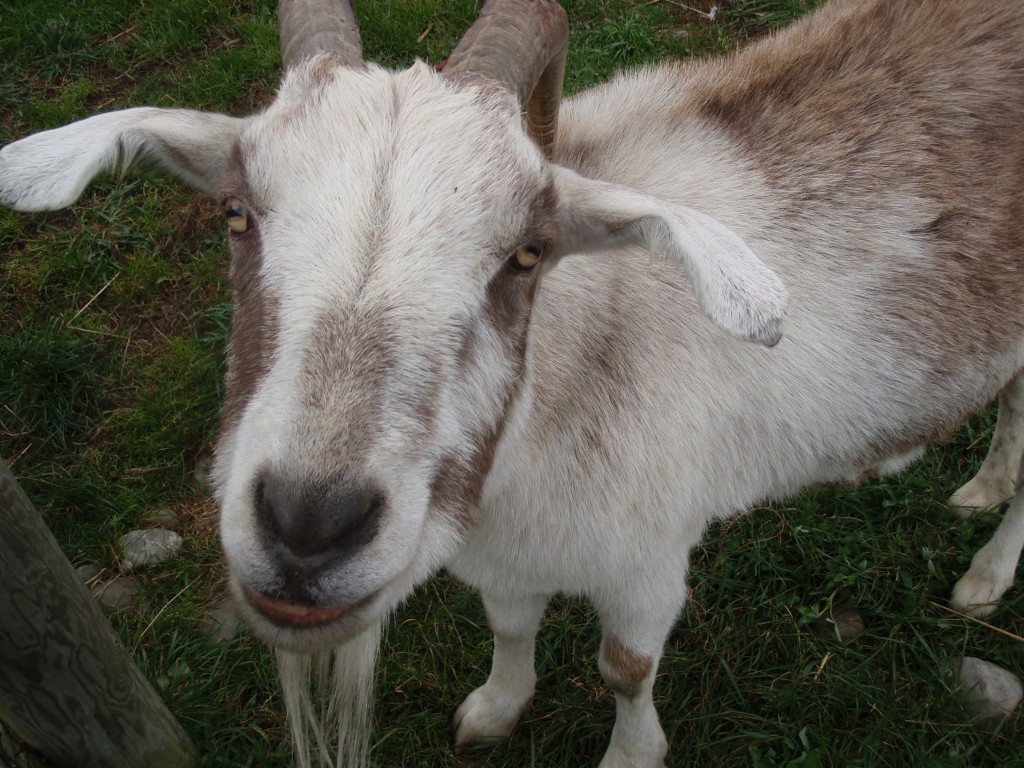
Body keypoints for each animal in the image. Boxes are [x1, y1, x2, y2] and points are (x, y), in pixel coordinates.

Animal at [2, 0, 1023, 765]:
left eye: (526, 253)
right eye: (236, 213)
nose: (307, 526)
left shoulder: (650, 561)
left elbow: (625, 668)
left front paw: (629, 756)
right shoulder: (504, 558)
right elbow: (508, 624)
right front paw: (494, 709)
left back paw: (983, 577)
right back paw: (976, 485)